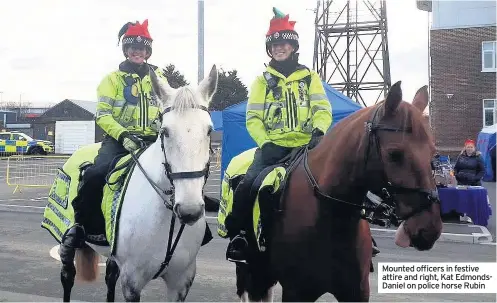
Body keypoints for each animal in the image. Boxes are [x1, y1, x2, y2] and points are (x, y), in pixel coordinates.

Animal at [232, 82, 442, 302]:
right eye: (394, 154)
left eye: (433, 153)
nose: (429, 229)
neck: (331, 217)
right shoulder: (296, 292)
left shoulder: (357, 291)